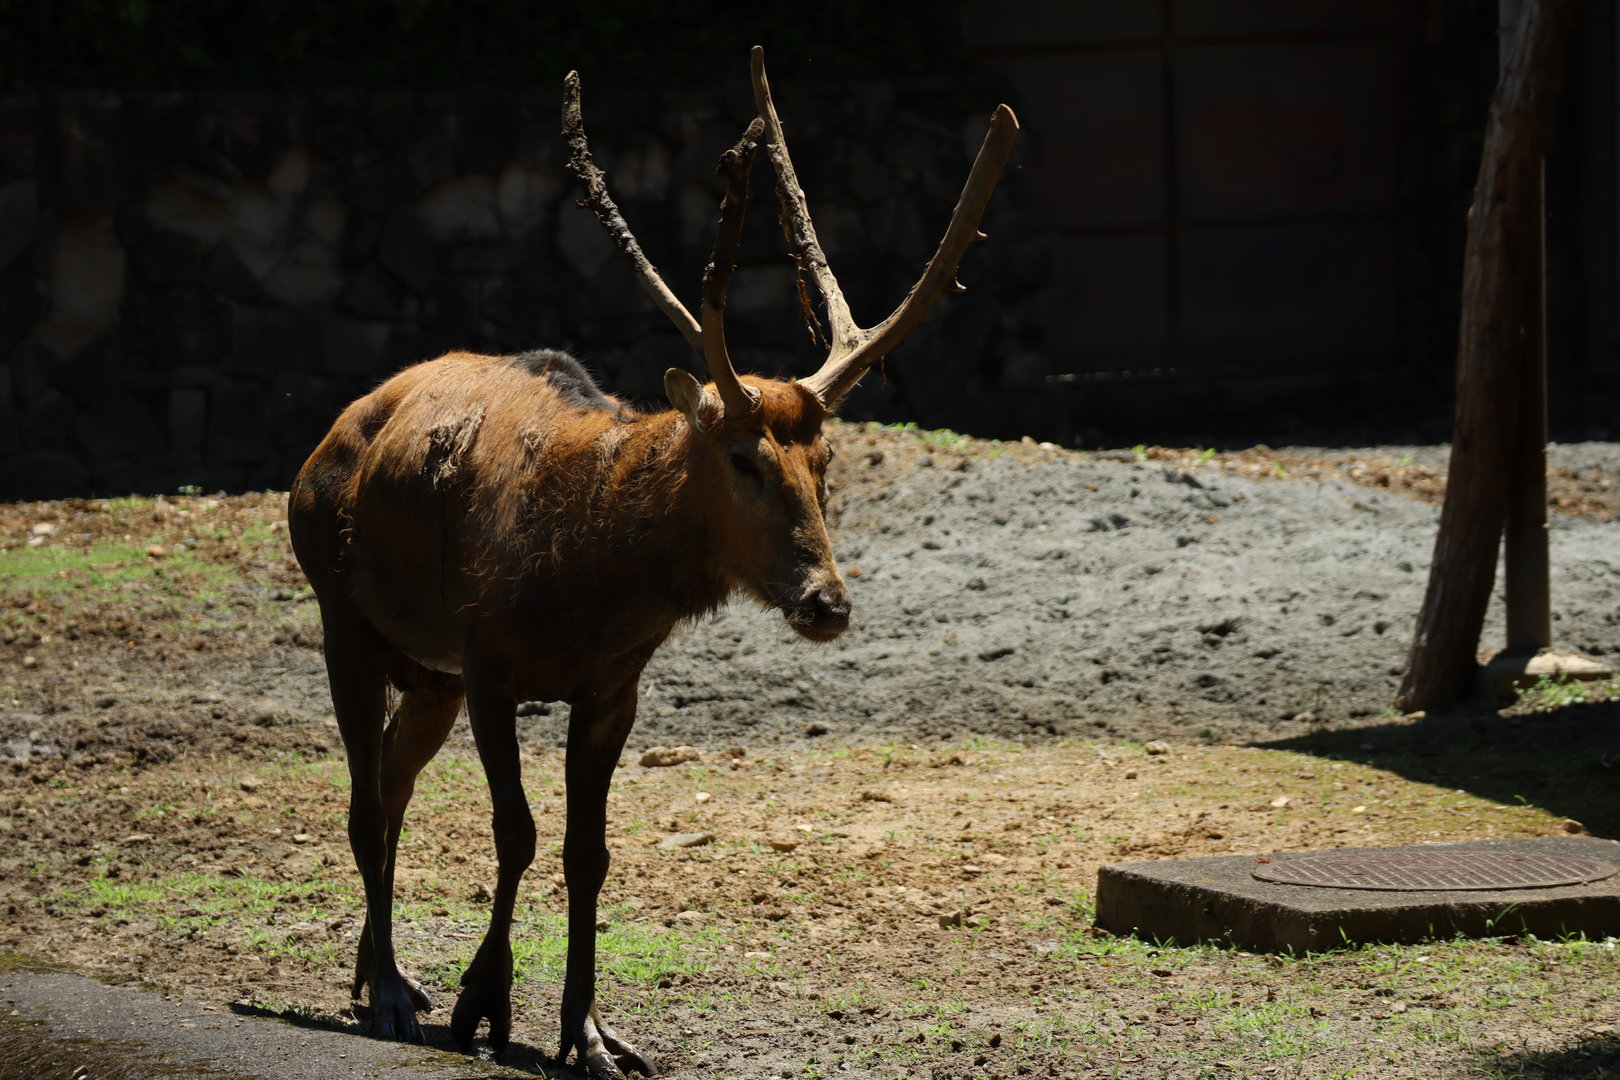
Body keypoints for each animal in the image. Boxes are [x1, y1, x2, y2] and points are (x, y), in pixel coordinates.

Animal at [287, 47, 1016, 1079]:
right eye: (746, 460)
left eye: (827, 460)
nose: (826, 602)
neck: (593, 578)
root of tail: (327, 442)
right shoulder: (488, 660)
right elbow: (517, 833)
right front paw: (484, 1005)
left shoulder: (610, 686)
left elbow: (589, 852)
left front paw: (590, 1034)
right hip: (344, 619)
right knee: (360, 798)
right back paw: (390, 991)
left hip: (426, 675)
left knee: (391, 783)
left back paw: (375, 977)